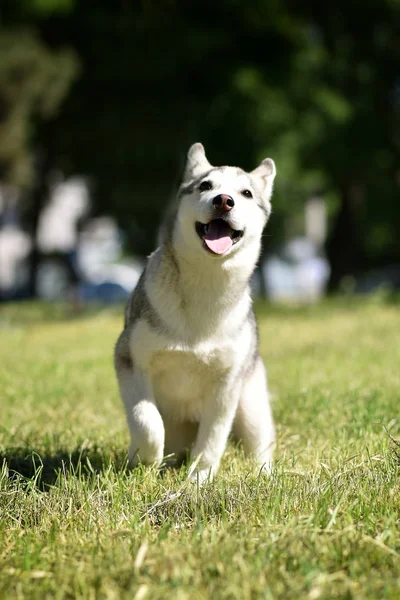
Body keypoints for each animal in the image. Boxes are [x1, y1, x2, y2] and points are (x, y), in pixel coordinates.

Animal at [114, 142, 276, 482]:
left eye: (246, 193)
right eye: (205, 186)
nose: (224, 201)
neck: (205, 284)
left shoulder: (227, 385)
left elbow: (213, 437)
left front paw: (200, 478)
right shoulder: (129, 359)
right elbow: (147, 421)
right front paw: (146, 461)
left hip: (252, 405)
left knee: (260, 444)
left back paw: (265, 475)